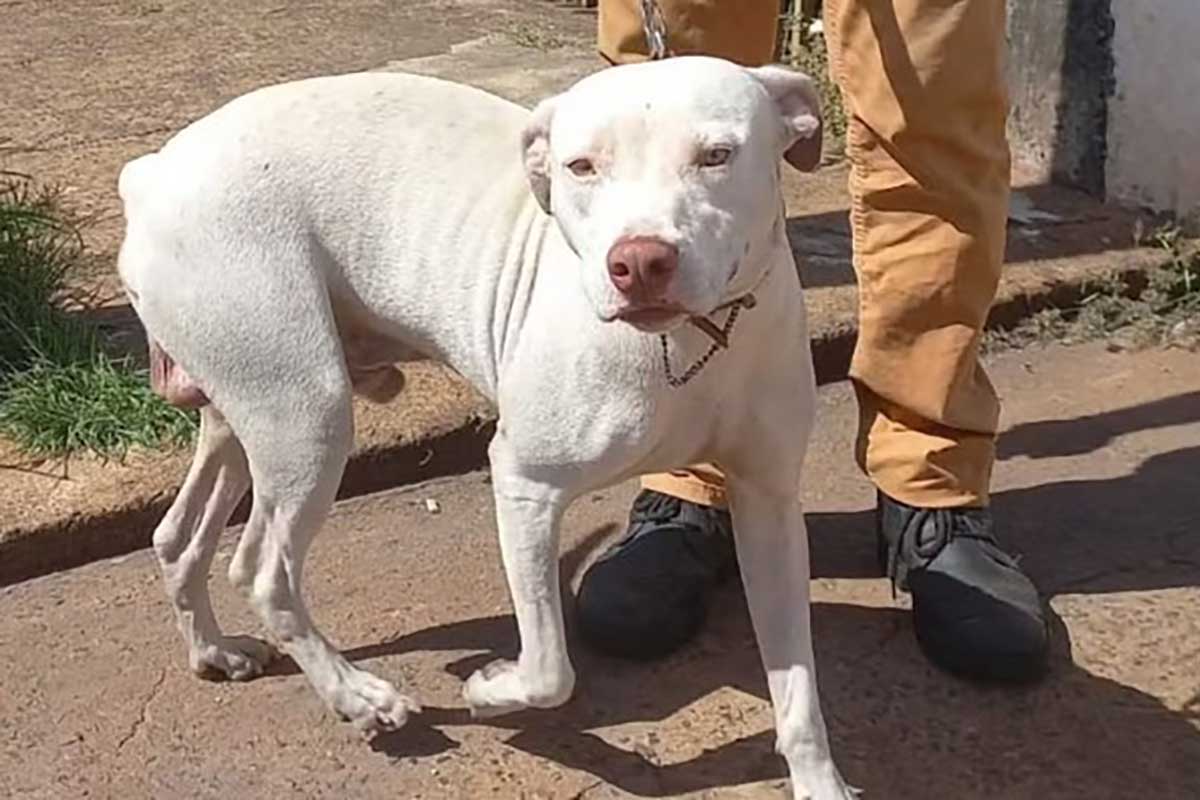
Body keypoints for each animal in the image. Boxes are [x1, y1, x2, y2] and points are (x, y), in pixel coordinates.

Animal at [117, 54, 854, 796]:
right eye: (581, 166)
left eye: (717, 156)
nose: (640, 262)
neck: (689, 343)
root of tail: (152, 174)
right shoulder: (525, 484)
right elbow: (551, 669)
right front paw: (489, 690)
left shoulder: (767, 504)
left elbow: (799, 688)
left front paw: (819, 780)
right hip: (305, 413)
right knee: (264, 570)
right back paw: (357, 695)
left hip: (244, 414)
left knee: (179, 536)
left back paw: (216, 652)